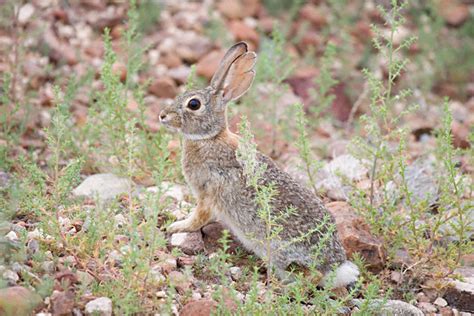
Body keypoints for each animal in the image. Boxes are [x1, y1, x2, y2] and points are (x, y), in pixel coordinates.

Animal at [160, 40, 360, 288]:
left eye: (194, 104)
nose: (162, 115)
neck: (210, 138)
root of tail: (337, 268)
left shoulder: (208, 191)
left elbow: (199, 217)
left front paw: (177, 226)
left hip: (281, 251)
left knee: (309, 276)